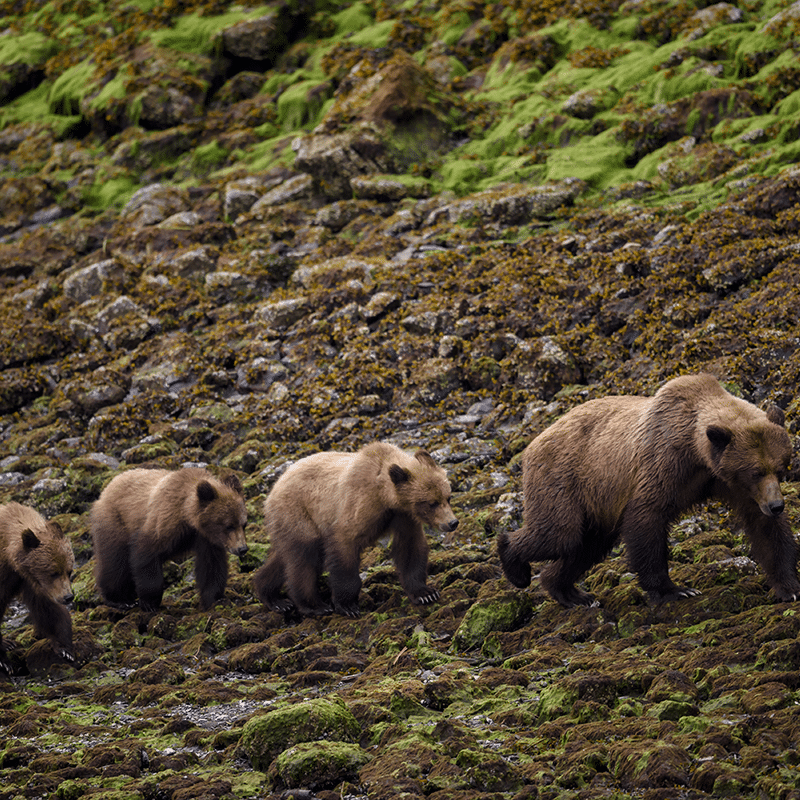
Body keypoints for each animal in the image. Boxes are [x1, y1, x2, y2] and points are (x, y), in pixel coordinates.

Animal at [0, 504, 76, 672]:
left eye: (69, 571)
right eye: (53, 572)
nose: (68, 597)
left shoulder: (28, 580)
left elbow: (45, 607)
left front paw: (65, 648)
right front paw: (4, 662)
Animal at [91, 466, 247, 608]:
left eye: (243, 524)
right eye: (229, 526)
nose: (242, 549)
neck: (187, 516)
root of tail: (108, 486)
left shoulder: (207, 539)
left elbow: (211, 566)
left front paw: (215, 599)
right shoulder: (162, 523)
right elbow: (146, 556)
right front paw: (150, 602)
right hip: (115, 522)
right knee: (115, 562)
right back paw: (120, 599)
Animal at [253, 440, 460, 616]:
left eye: (448, 497)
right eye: (431, 503)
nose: (452, 523)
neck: (386, 496)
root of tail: (273, 489)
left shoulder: (403, 516)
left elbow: (410, 548)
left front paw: (425, 593)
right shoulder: (359, 505)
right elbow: (345, 546)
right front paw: (347, 605)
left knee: (283, 559)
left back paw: (273, 597)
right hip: (298, 514)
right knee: (304, 558)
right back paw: (314, 605)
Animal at [496, 374, 796, 608]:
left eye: (781, 468)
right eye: (756, 471)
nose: (776, 505)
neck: (698, 453)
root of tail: (535, 441)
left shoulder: (731, 483)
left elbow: (765, 528)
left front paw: (788, 587)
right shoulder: (665, 461)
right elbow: (647, 516)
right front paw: (675, 589)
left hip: (595, 503)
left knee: (587, 545)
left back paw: (570, 592)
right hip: (565, 479)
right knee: (559, 534)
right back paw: (516, 567)